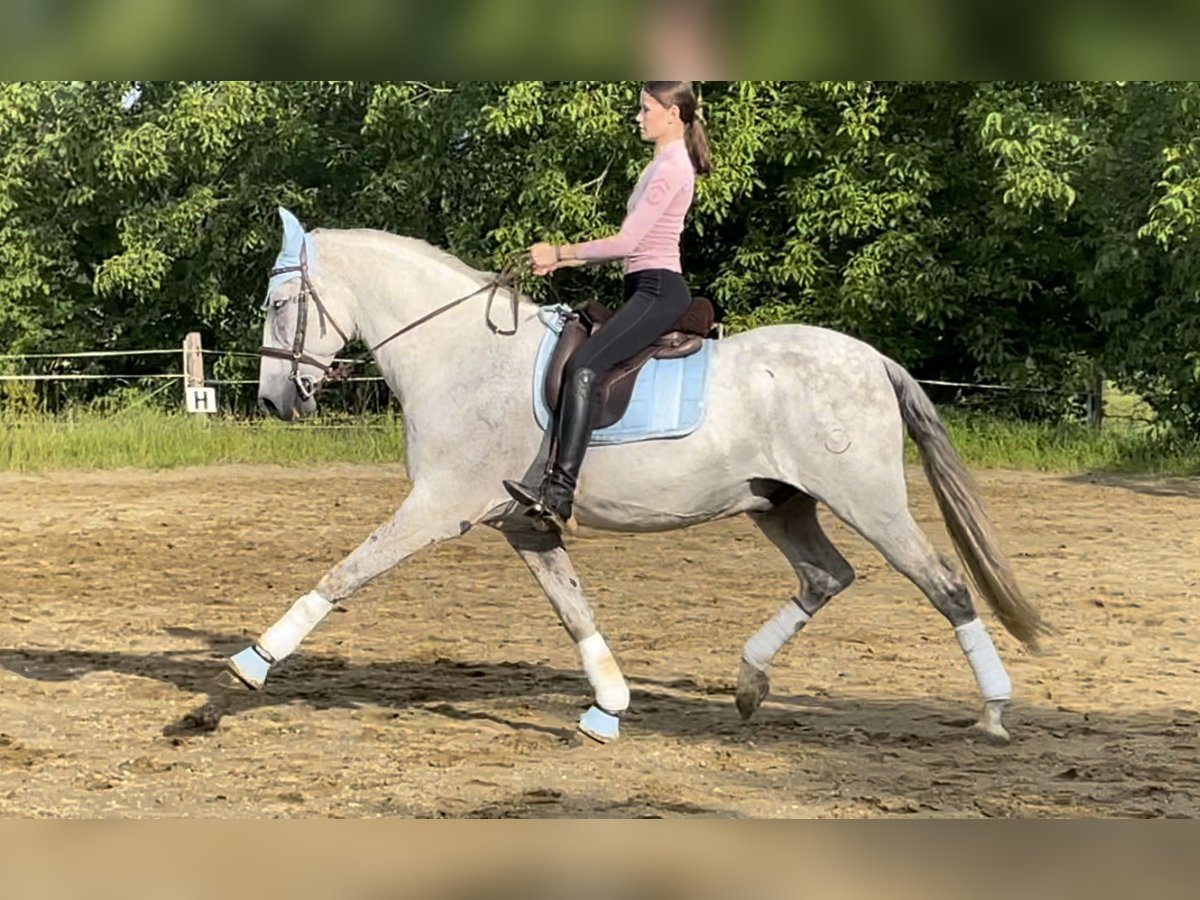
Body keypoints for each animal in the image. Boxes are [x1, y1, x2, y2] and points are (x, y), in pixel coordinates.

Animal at [231, 210, 1041, 748]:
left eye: (277, 303)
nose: (274, 401)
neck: (461, 354)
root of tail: (872, 360)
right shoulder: (522, 523)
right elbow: (574, 611)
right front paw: (609, 706)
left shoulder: (437, 506)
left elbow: (347, 572)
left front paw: (253, 662)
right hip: (778, 504)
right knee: (825, 577)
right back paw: (749, 685)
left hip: (867, 501)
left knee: (944, 584)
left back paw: (995, 711)